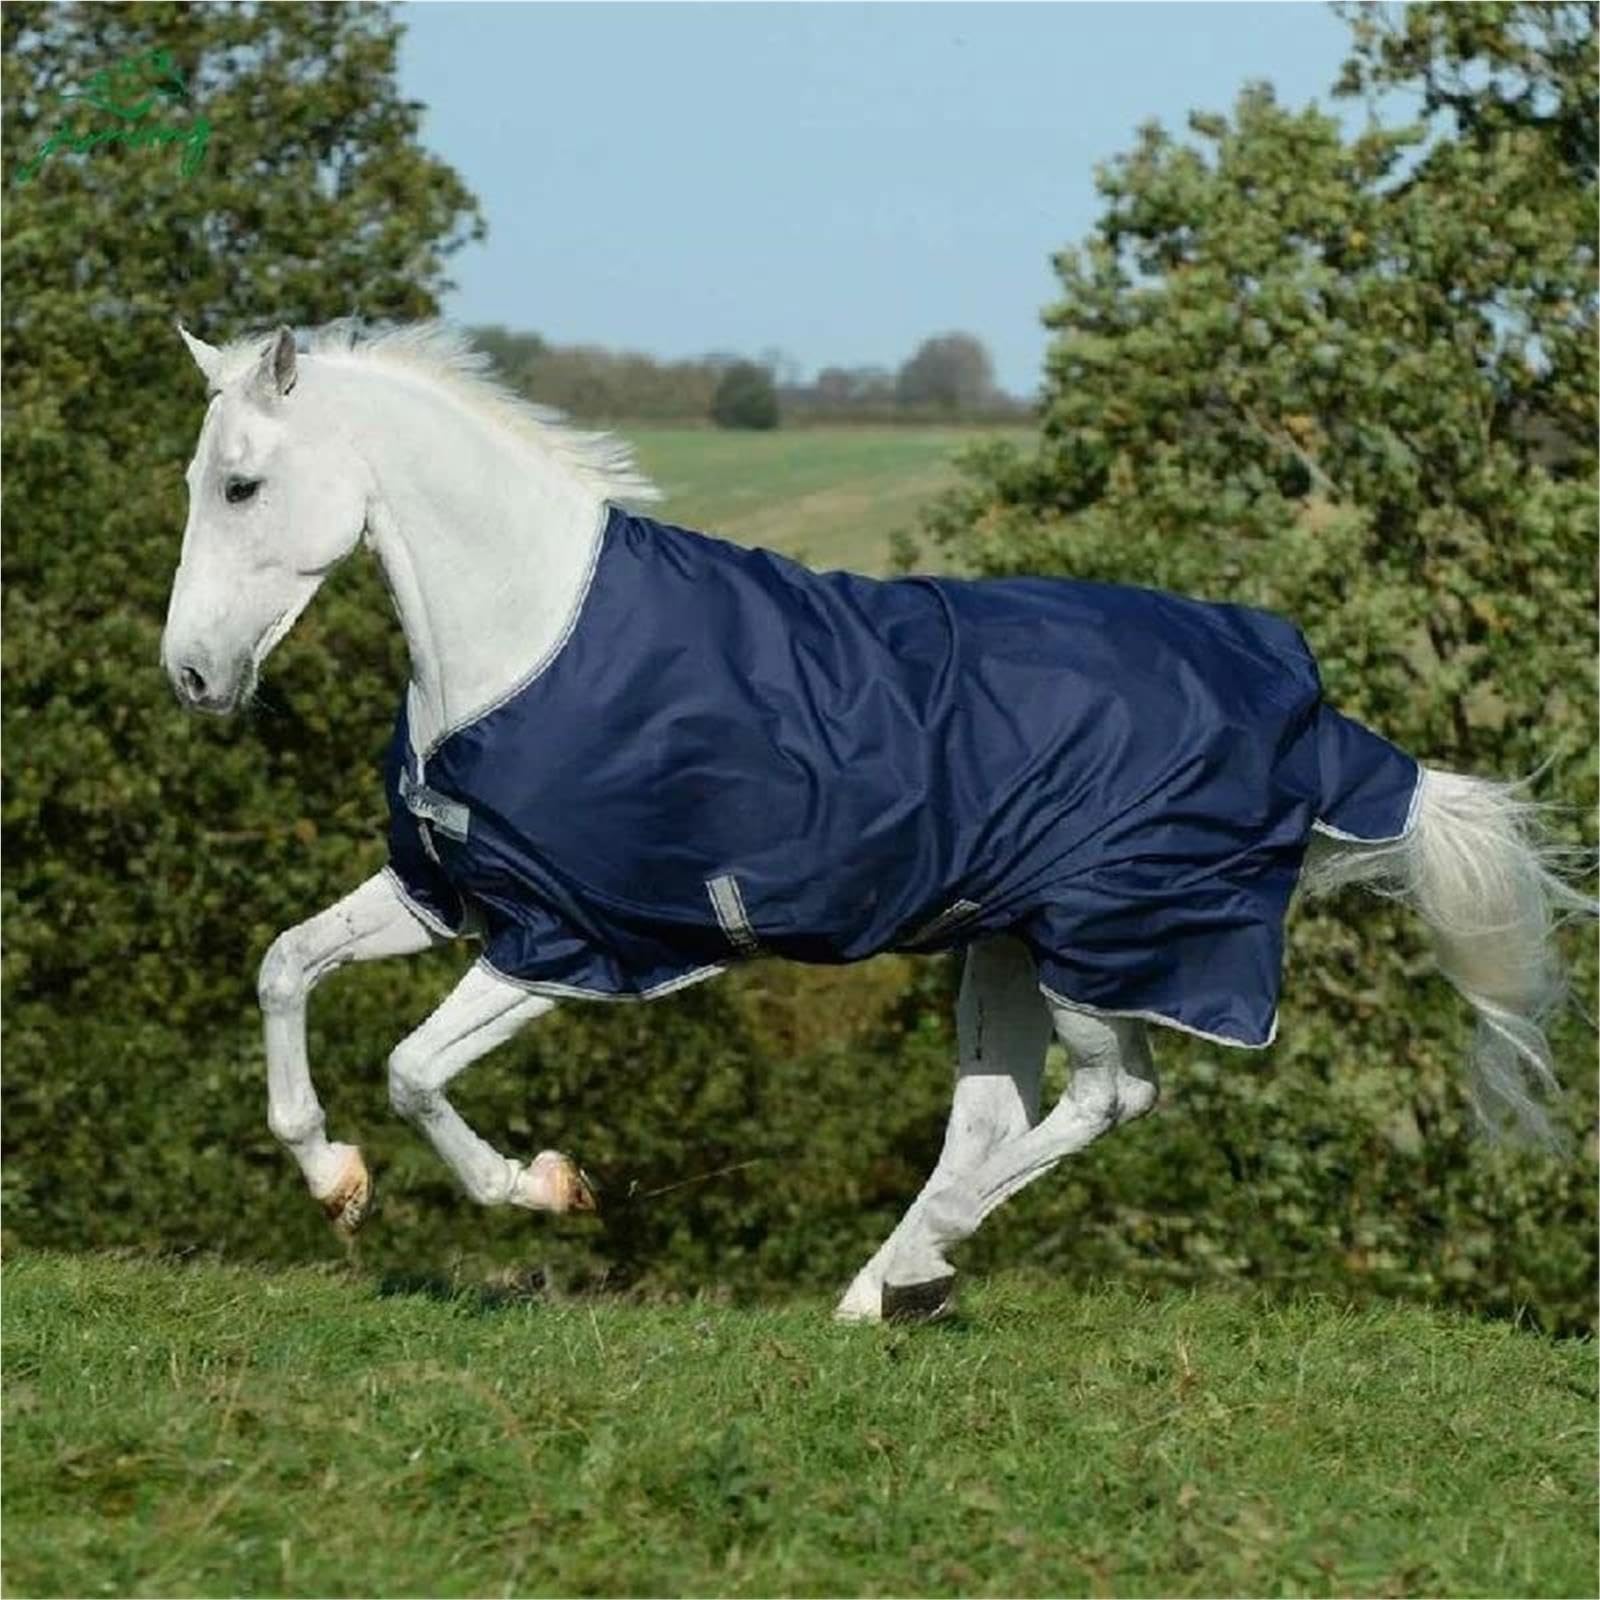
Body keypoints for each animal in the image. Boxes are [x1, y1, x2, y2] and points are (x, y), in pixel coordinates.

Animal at [160, 320, 1585, 1322]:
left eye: (239, 487)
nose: (192, 678)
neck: (531, 639)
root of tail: (1313, 715)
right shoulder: (450, 890)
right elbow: (283, 965)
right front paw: (333, 1180)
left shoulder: (575, 942)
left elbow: (412, 1067)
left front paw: (543, 1186)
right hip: (1005, 945)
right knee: (1001, 1116)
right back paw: (885, 1286)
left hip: (1099, 946)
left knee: (1110, 1096)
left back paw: (914, 1266)